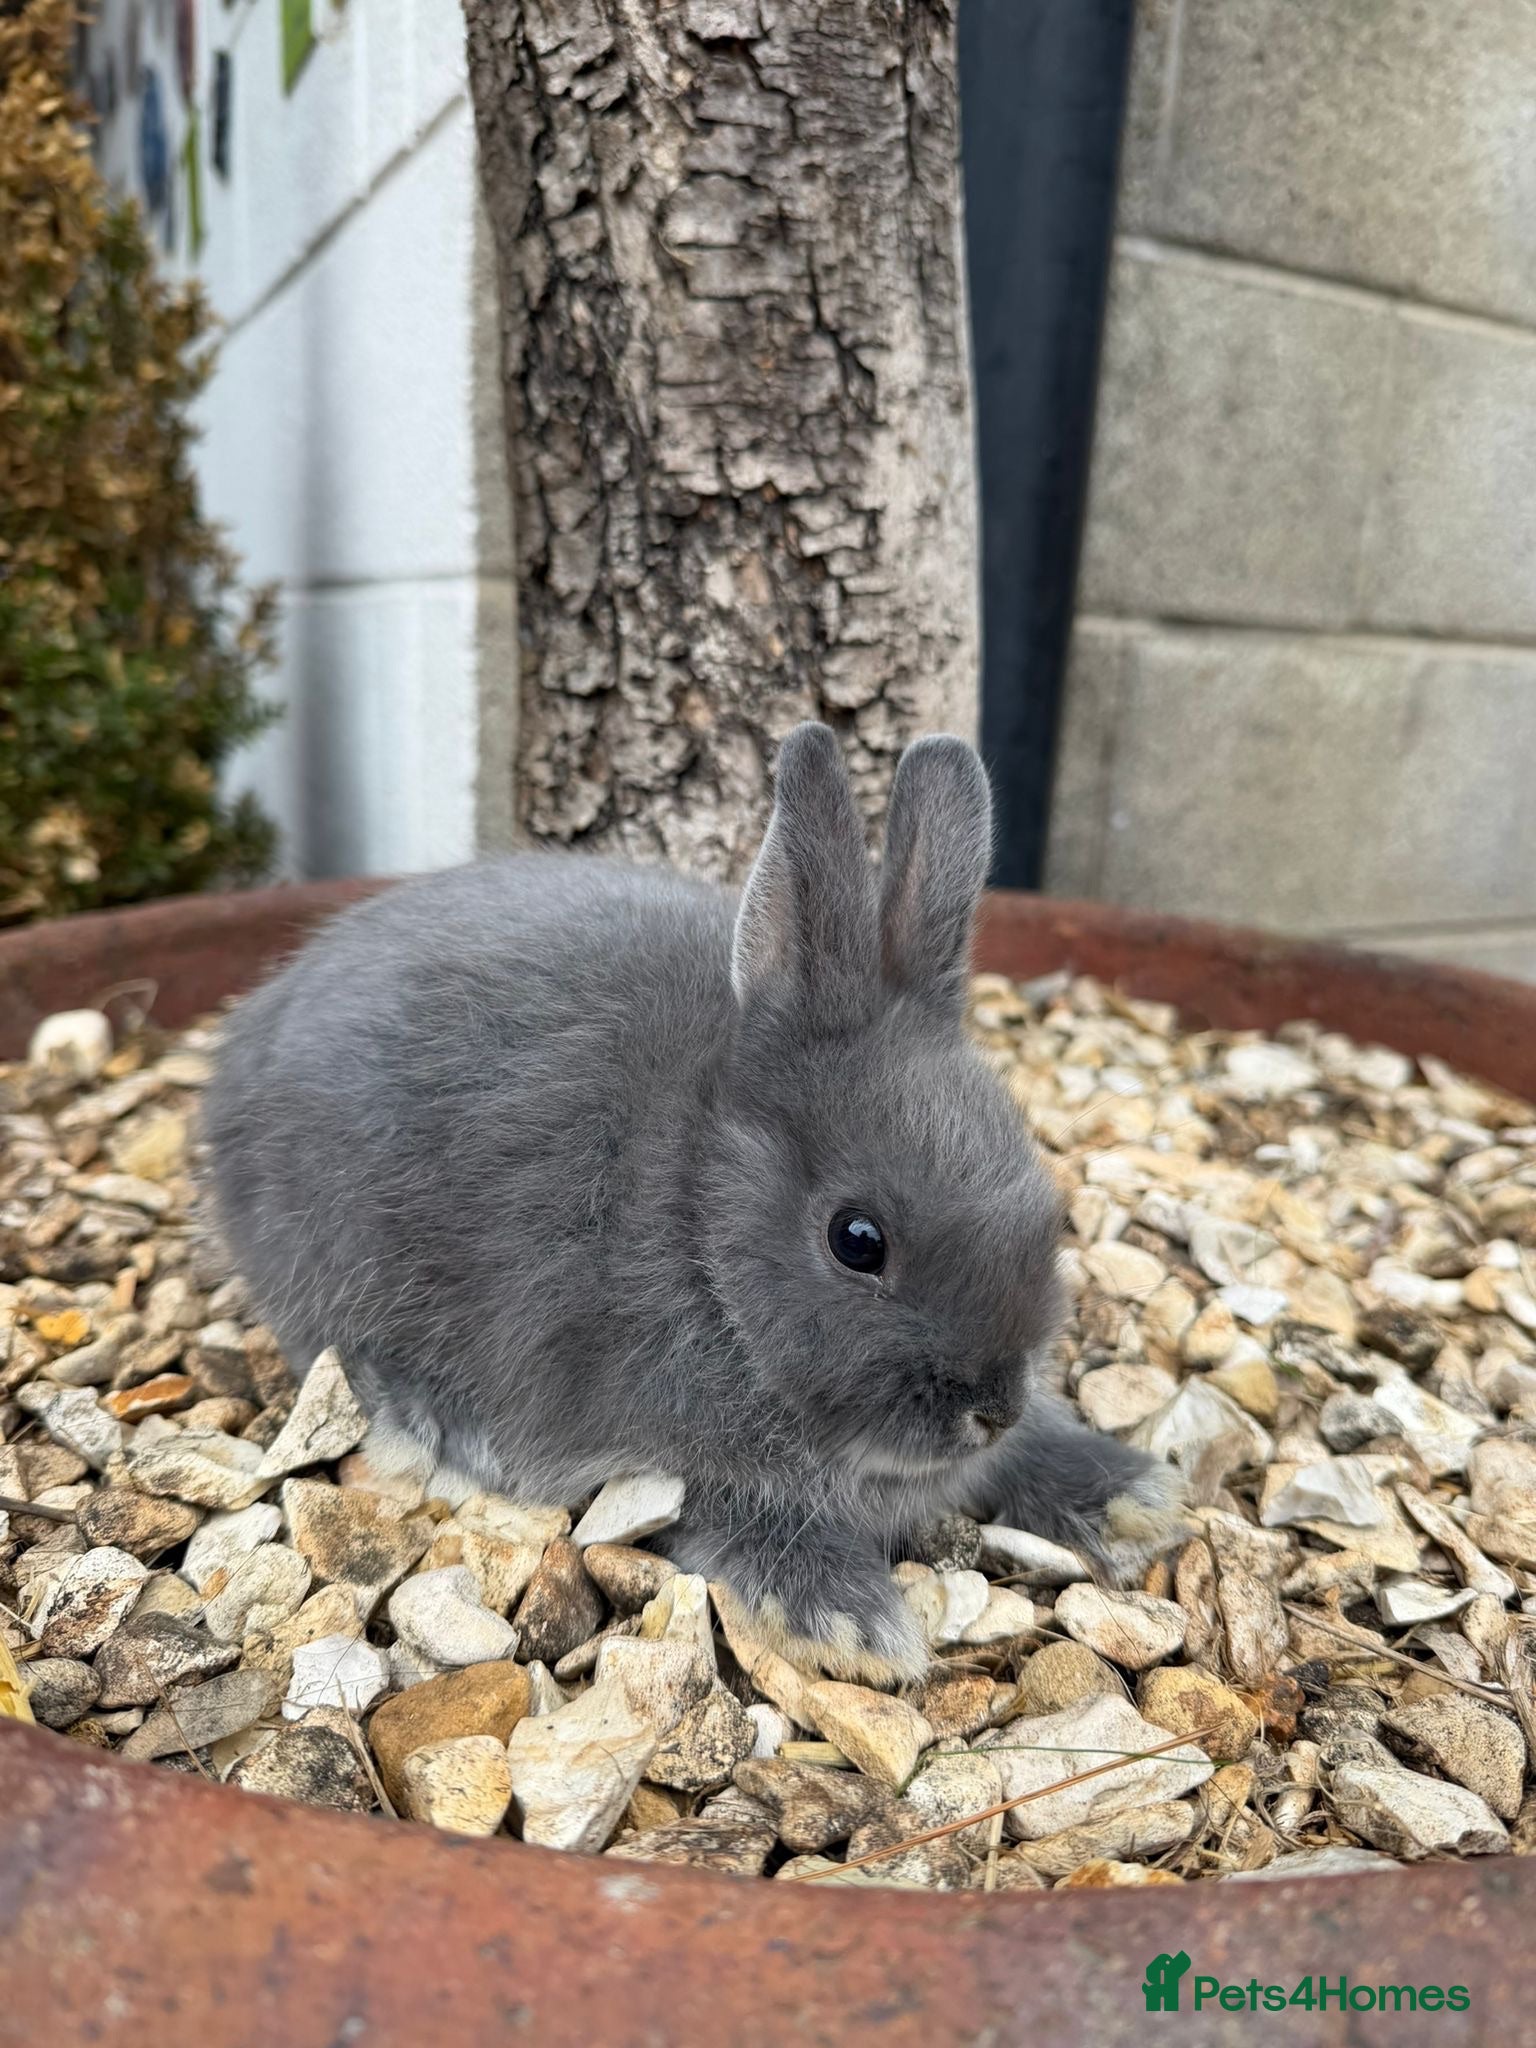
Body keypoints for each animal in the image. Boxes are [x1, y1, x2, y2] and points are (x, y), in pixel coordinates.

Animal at [204, 722, 1185, 1683]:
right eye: (857, 1240)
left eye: (1044, 1204)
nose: (990, 1409)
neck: (699, 1228)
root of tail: (241, 1051)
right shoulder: (658, 1453)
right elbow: (735, 1516)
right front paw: (851, 1622)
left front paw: (1136, 1496)